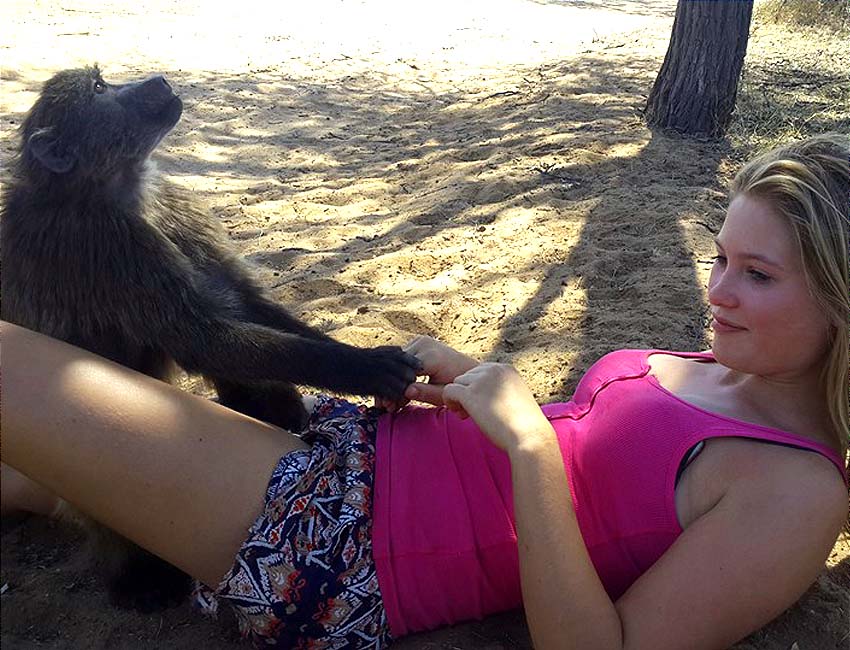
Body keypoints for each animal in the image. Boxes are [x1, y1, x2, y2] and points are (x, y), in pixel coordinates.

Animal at [0, 65, 421, 612]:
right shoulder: (108, 243)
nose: (157, 80)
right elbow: (206, 336)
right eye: (99, 90)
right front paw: (367, 367)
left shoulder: (169, 203)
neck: (107, 186)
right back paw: (135, 577)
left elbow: (240, 301)